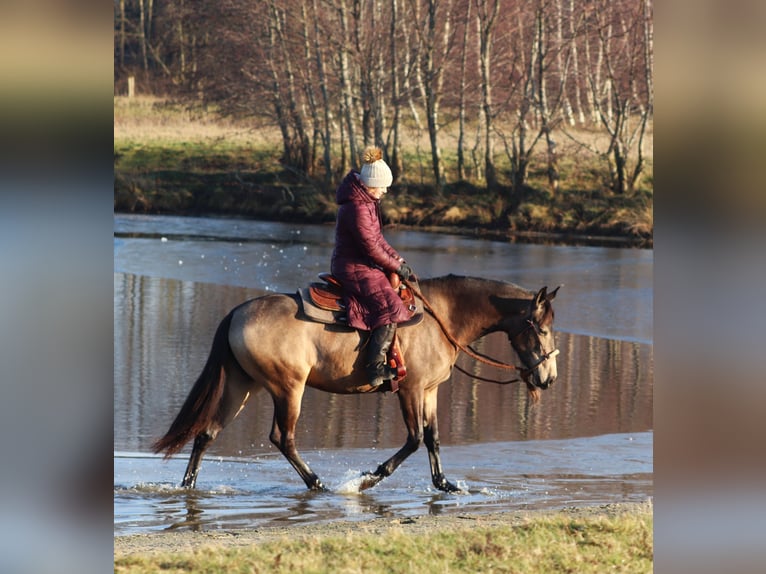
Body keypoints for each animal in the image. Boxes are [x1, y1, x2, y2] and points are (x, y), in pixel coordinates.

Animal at [154, 276, 564, 496]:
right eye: (543, 329)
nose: (549, 377)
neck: (443, 317)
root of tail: (238, 312)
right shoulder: (410, 390)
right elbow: (414, 440)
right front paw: (368, 479)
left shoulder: (430, 391)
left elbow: (433, 439)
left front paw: (445, 484)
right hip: (288, 388)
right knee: (282, 438)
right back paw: (318, 484)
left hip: (244, 385)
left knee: (207, 434)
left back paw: (187, 486)